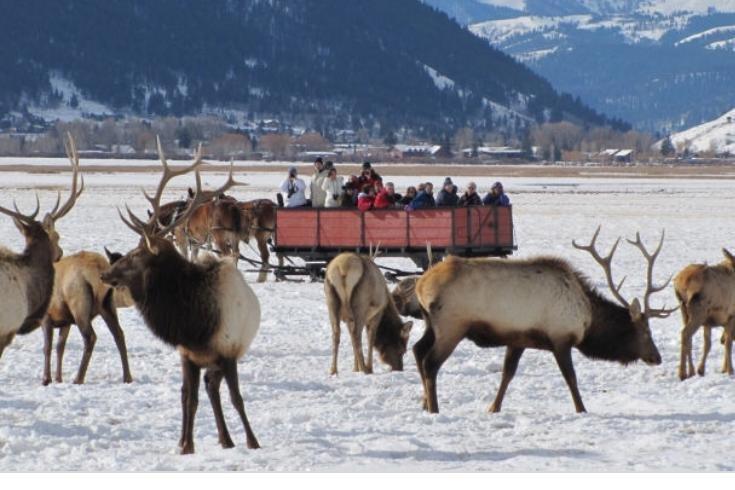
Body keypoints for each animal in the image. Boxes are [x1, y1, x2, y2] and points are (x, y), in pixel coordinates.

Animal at [40, 248, 134, 386]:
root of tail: (98, 269)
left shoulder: (47, 317)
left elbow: (47, 347)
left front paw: (46, 379)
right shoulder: (66, 321)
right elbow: (60, 348)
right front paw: (58, 378)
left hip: (79, 306)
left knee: (90, 337)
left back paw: (78, 378)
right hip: (108, 305)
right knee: (119, 334)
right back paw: (127, 377)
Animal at [100, 141, 261, 455]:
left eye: (136, 255)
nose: (105, 273)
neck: (194, 324)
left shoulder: (228, 352)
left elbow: (237, 398)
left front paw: (253, 441)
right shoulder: (188, 355)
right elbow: (188, 397)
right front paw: (185, 445)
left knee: (214, 387)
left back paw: (228, 438)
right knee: (207, 388)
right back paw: (224, 439)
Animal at [413, 226, 674, 414]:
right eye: (646, 332)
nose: (657, 357)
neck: (588, 319)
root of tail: (421, 285)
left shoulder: (518, 339)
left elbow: (507, 374)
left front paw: (494, 407)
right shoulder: (561, 338)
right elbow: (571, 378)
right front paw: (581, 409)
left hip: (431, 324)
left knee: (417, 350)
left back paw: (424, 403)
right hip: (452, 326)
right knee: (430, 362)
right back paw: (434, 409)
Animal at [673, 249, 735, 380]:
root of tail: (680, 283)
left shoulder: (709, 322)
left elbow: (708, 345)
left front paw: (702, 370)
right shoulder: (731, 316)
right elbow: (728, 343)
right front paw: (730, 370)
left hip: (684, 310)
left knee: (688, 338)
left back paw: (691, 371)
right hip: (698, 312)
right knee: (685, 334)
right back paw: (682, 373)